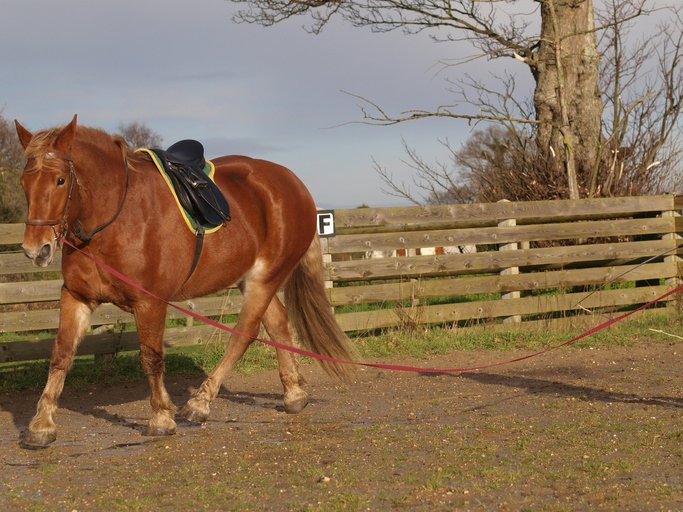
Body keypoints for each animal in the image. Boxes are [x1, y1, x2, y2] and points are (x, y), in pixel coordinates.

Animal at [14, 115, 357, 449]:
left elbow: (151, 358)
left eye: (60, 180)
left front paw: (161, 418)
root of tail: (294, 184)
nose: (35, 250)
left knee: (244, 333)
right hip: (252, 278)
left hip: (266, 278)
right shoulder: (76, 296)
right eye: (24, 182)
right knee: (277, 324)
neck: (115, 219)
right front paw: (42, 425)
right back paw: (294, 394)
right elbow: (60, 355)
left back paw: (200, 403)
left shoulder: (149, 302)